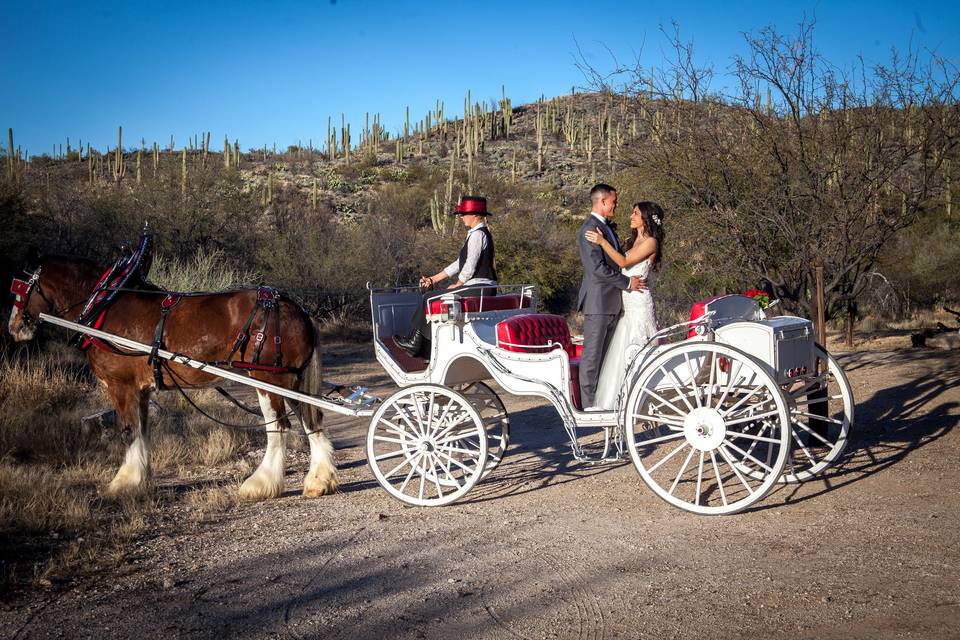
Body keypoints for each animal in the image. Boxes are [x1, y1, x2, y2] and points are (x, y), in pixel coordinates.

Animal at [6, 254, 338, 500]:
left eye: (20, 289)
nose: (13, 327)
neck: (104, 305)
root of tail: (297, 309)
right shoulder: (141, 390)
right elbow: (141, 430)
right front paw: (140, 477)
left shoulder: (121, 386)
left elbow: (127, 431)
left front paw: (123, 483)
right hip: (292, 381)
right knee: (312, 422)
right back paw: (318, 481)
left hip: (269, 381)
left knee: (279, 427)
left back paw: (260, 484)